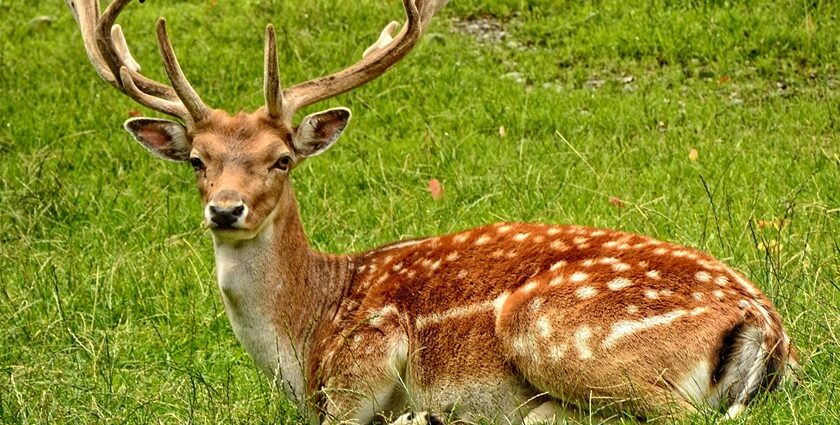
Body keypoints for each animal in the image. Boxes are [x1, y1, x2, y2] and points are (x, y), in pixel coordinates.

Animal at [65, 0, 796, 422]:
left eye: (282, 158)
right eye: (198, 159)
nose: (226, 209)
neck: (304, 334)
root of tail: (766, 325)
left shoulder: (363, 360)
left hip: (553, 329)